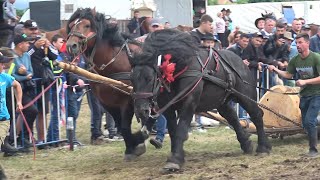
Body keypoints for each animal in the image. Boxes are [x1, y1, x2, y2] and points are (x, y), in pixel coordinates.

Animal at [66, 8, 149, 160]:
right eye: (71, 26)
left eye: (87, 25)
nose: (71, 45)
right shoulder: (106, 102)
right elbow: (120, 125)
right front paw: (132, 145)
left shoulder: (127, 100)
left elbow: (124, 127)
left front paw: (136, 143)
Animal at [131, 29, 272, 172]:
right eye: (132, 79)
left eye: (149, 78)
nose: (141, 110)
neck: (180, 66)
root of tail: (241, 62)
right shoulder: (168, 107)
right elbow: (173, 132)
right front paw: (178, 154)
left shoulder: (189, 103)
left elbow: (181, 130)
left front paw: (175, 159)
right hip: (221, 102)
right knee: (232, 117)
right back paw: (246, 143)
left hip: (245, 96)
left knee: (256, 115)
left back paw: (263, 147)